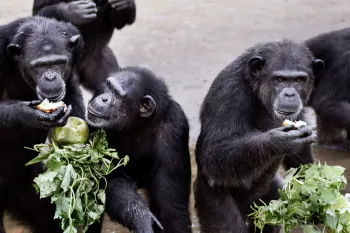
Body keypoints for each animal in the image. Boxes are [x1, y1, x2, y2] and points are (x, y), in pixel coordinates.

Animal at [86, 66, 193, 233]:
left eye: (117, 95)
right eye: (108, 86)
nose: (103, 98)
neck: (138, 123)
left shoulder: (175, 128)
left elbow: (170, 207)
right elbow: (114, 180)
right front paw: (142, 218)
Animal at [193, 40, 324, 233]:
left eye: (300, 80)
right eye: (279, 79)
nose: (290, 93)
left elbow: (300, 156)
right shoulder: (228, 91)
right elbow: (214, 152)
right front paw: (279, 141)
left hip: (270, 198)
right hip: (211, 201)